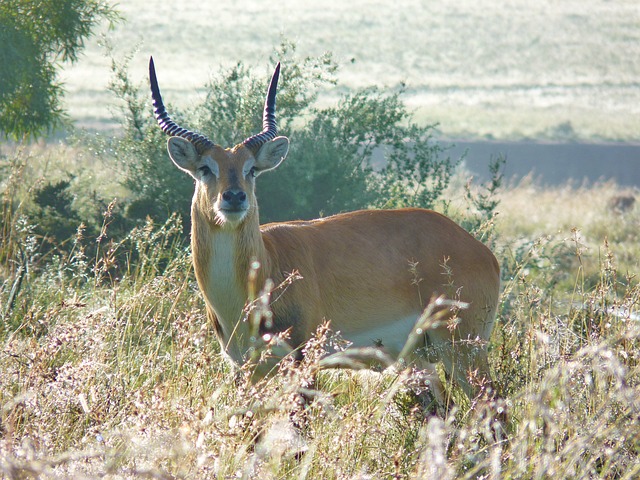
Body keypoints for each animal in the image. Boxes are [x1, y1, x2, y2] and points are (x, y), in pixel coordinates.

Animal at [149, 56, 500, 402]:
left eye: (252, 170)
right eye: (205, 168)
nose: (234, 197)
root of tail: (483, 251)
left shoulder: (303, 361)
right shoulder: (245, 369)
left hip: (463, 351)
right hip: (421, 360)